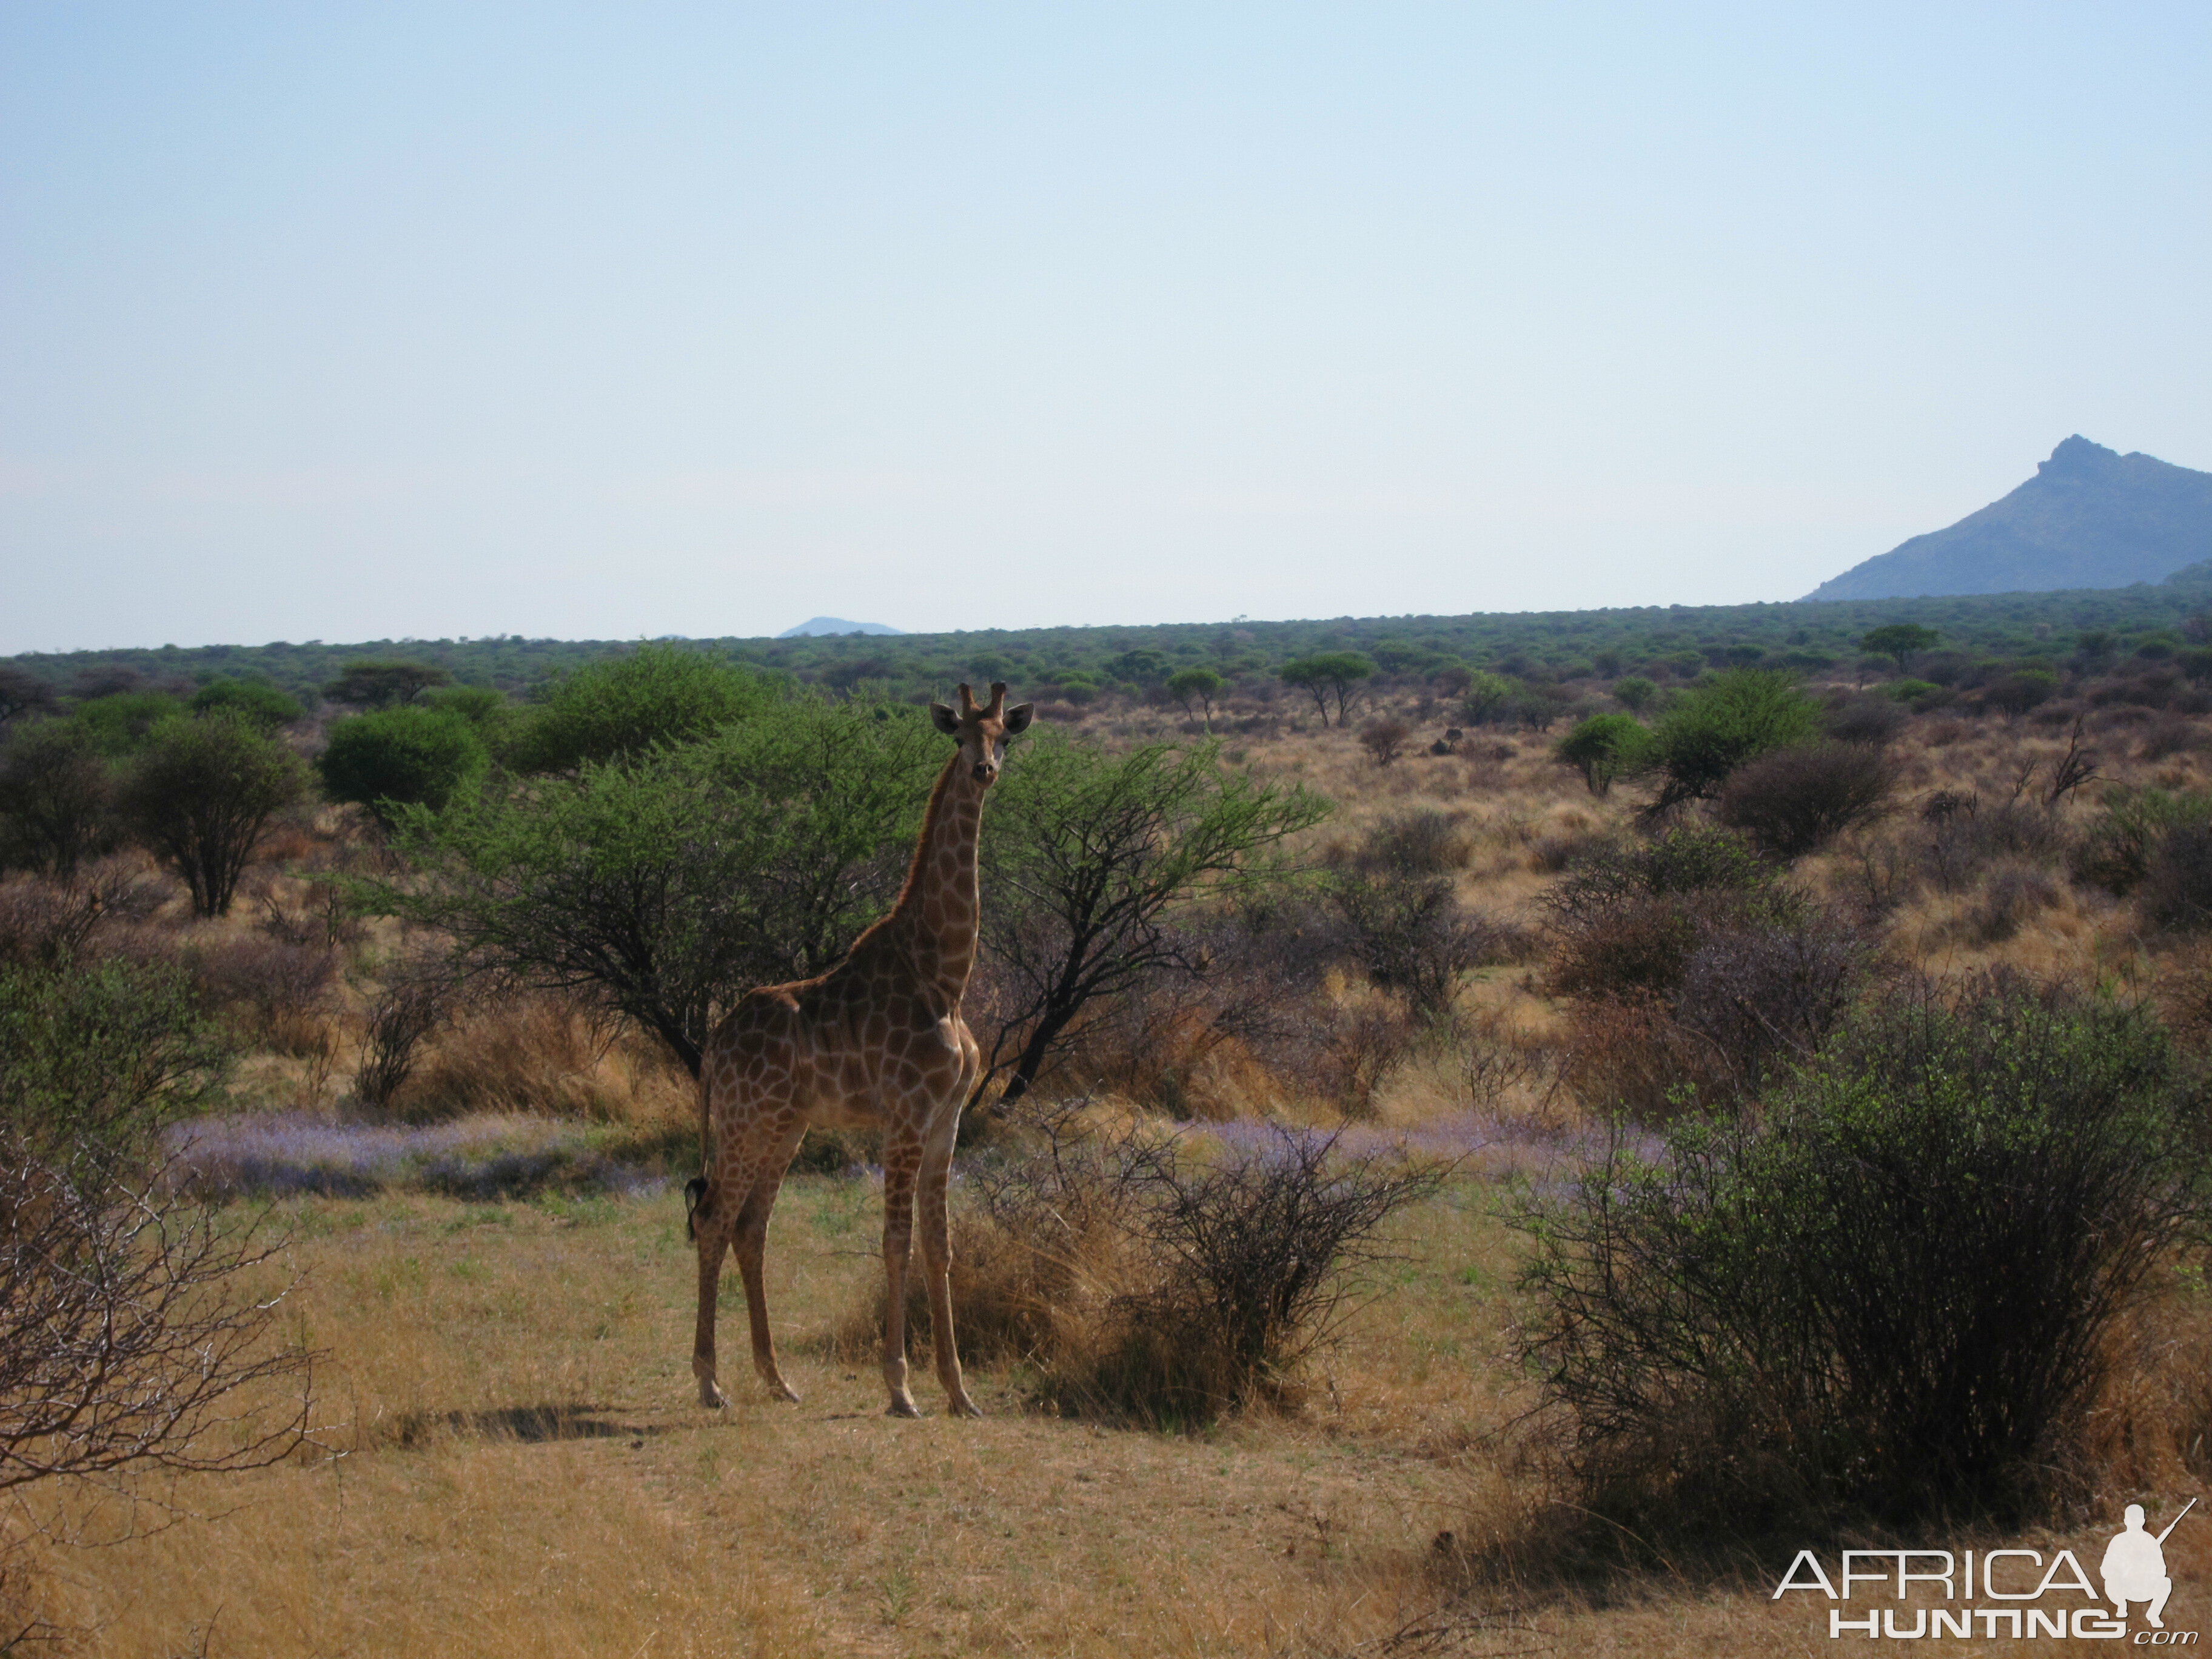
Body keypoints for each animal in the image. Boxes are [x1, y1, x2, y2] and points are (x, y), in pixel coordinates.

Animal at [685, 681, 1030, 1424]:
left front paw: (960, 1392)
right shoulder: (904, 1117)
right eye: (959, 735)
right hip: (746, 1122)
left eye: (1004, 737)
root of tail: (714, 1046)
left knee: (750, 1226)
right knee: (713, 1217)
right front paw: (900, 1388)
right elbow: (896, 1243)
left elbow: (940, 1246)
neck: (945, 975)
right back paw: (710, 1384)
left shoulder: (945, 1121)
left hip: (785, 1125)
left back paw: (777, 1379)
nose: (985, 771)